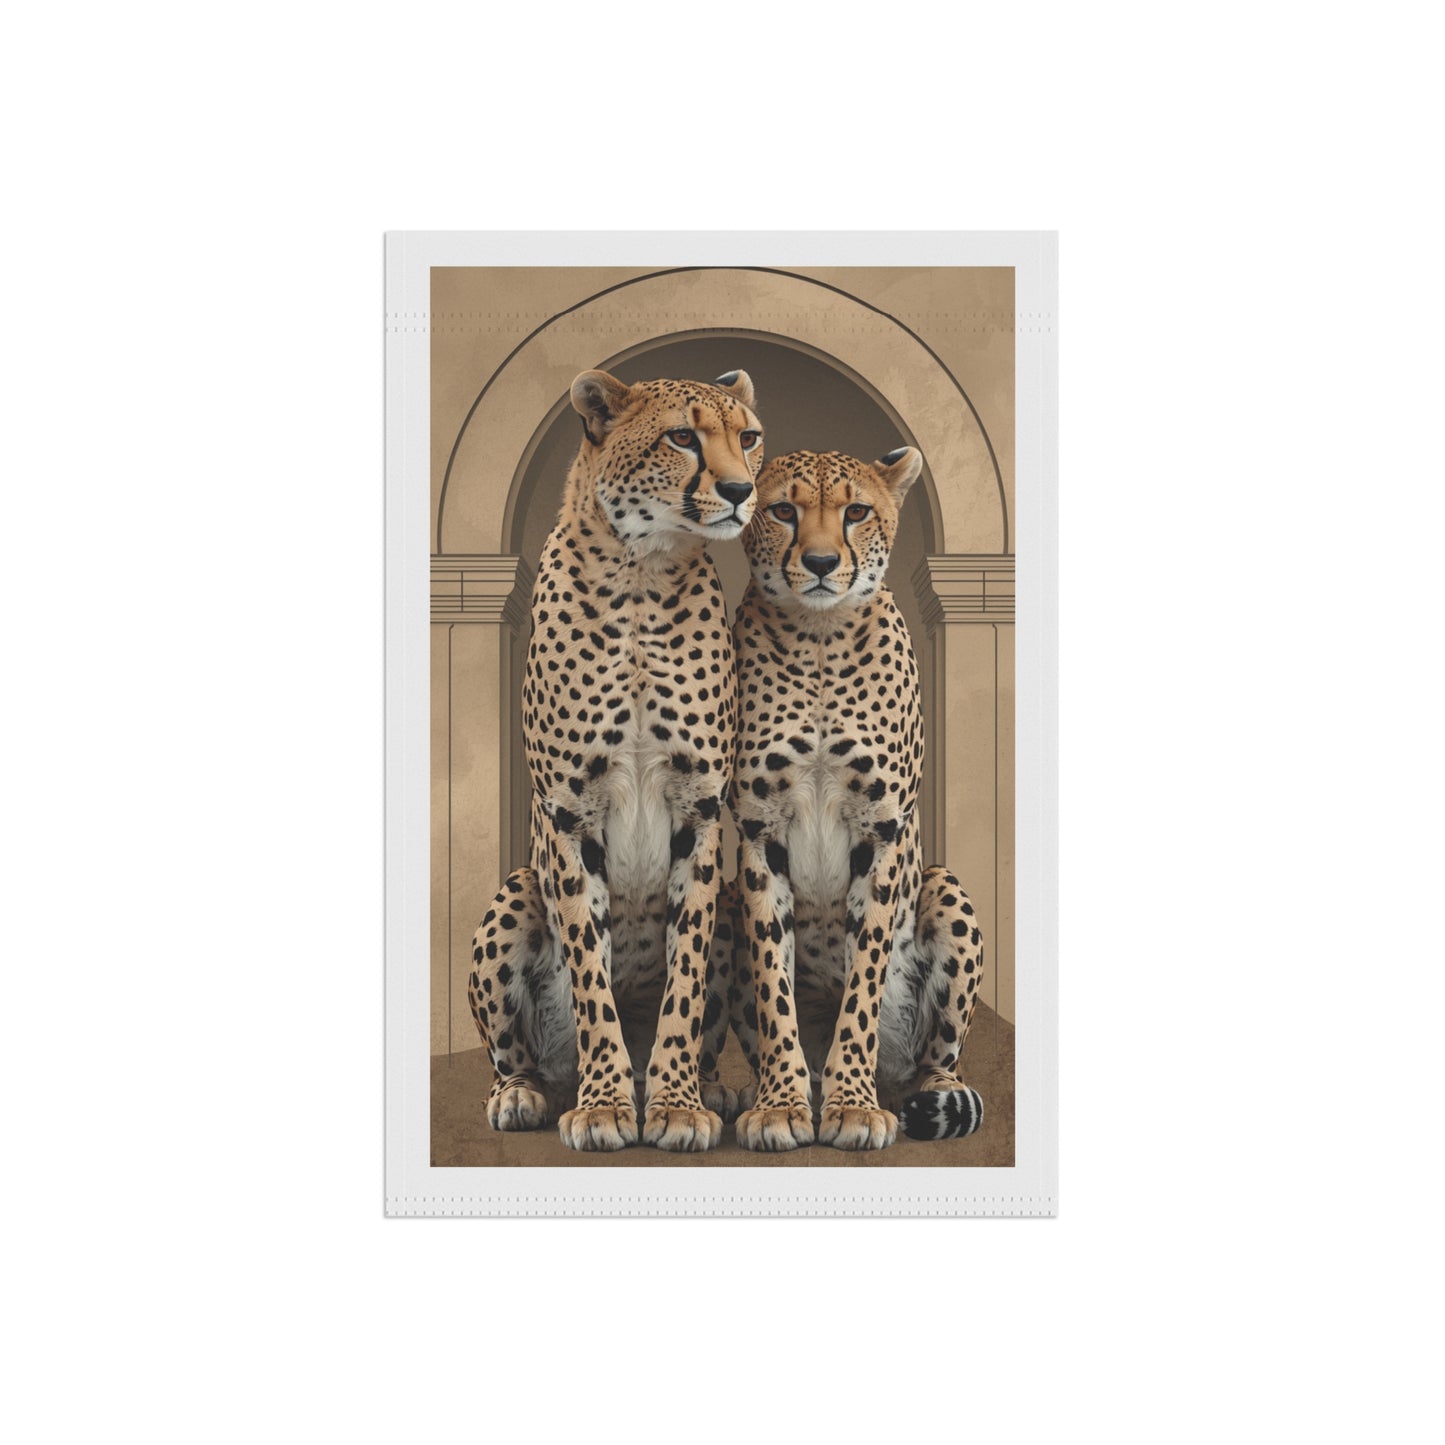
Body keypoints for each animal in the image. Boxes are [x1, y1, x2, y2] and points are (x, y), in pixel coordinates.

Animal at [467, 368, 763, 1152]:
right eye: (682, 436)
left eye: (748, 437)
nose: (740, 490)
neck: (641, 575)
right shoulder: (571, 818)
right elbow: (591, 975)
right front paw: (602, 1102)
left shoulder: (700, 811)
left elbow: (684, 977)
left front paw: (677, 1101)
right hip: (515, 891)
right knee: (515, 1054)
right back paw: (524, 1093)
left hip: (733, 901)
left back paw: (705, 1084)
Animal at [723, 446, 987, 1152]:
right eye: (783, 511)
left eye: (857, 512)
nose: (819, 563)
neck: (818, 635)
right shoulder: (759, 831)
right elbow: (774, 983)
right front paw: (782, 1103)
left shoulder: (881, 832)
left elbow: (863, 978)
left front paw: (852, 1103)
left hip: (944, 886)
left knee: (936, 1059)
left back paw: (922, 1091)